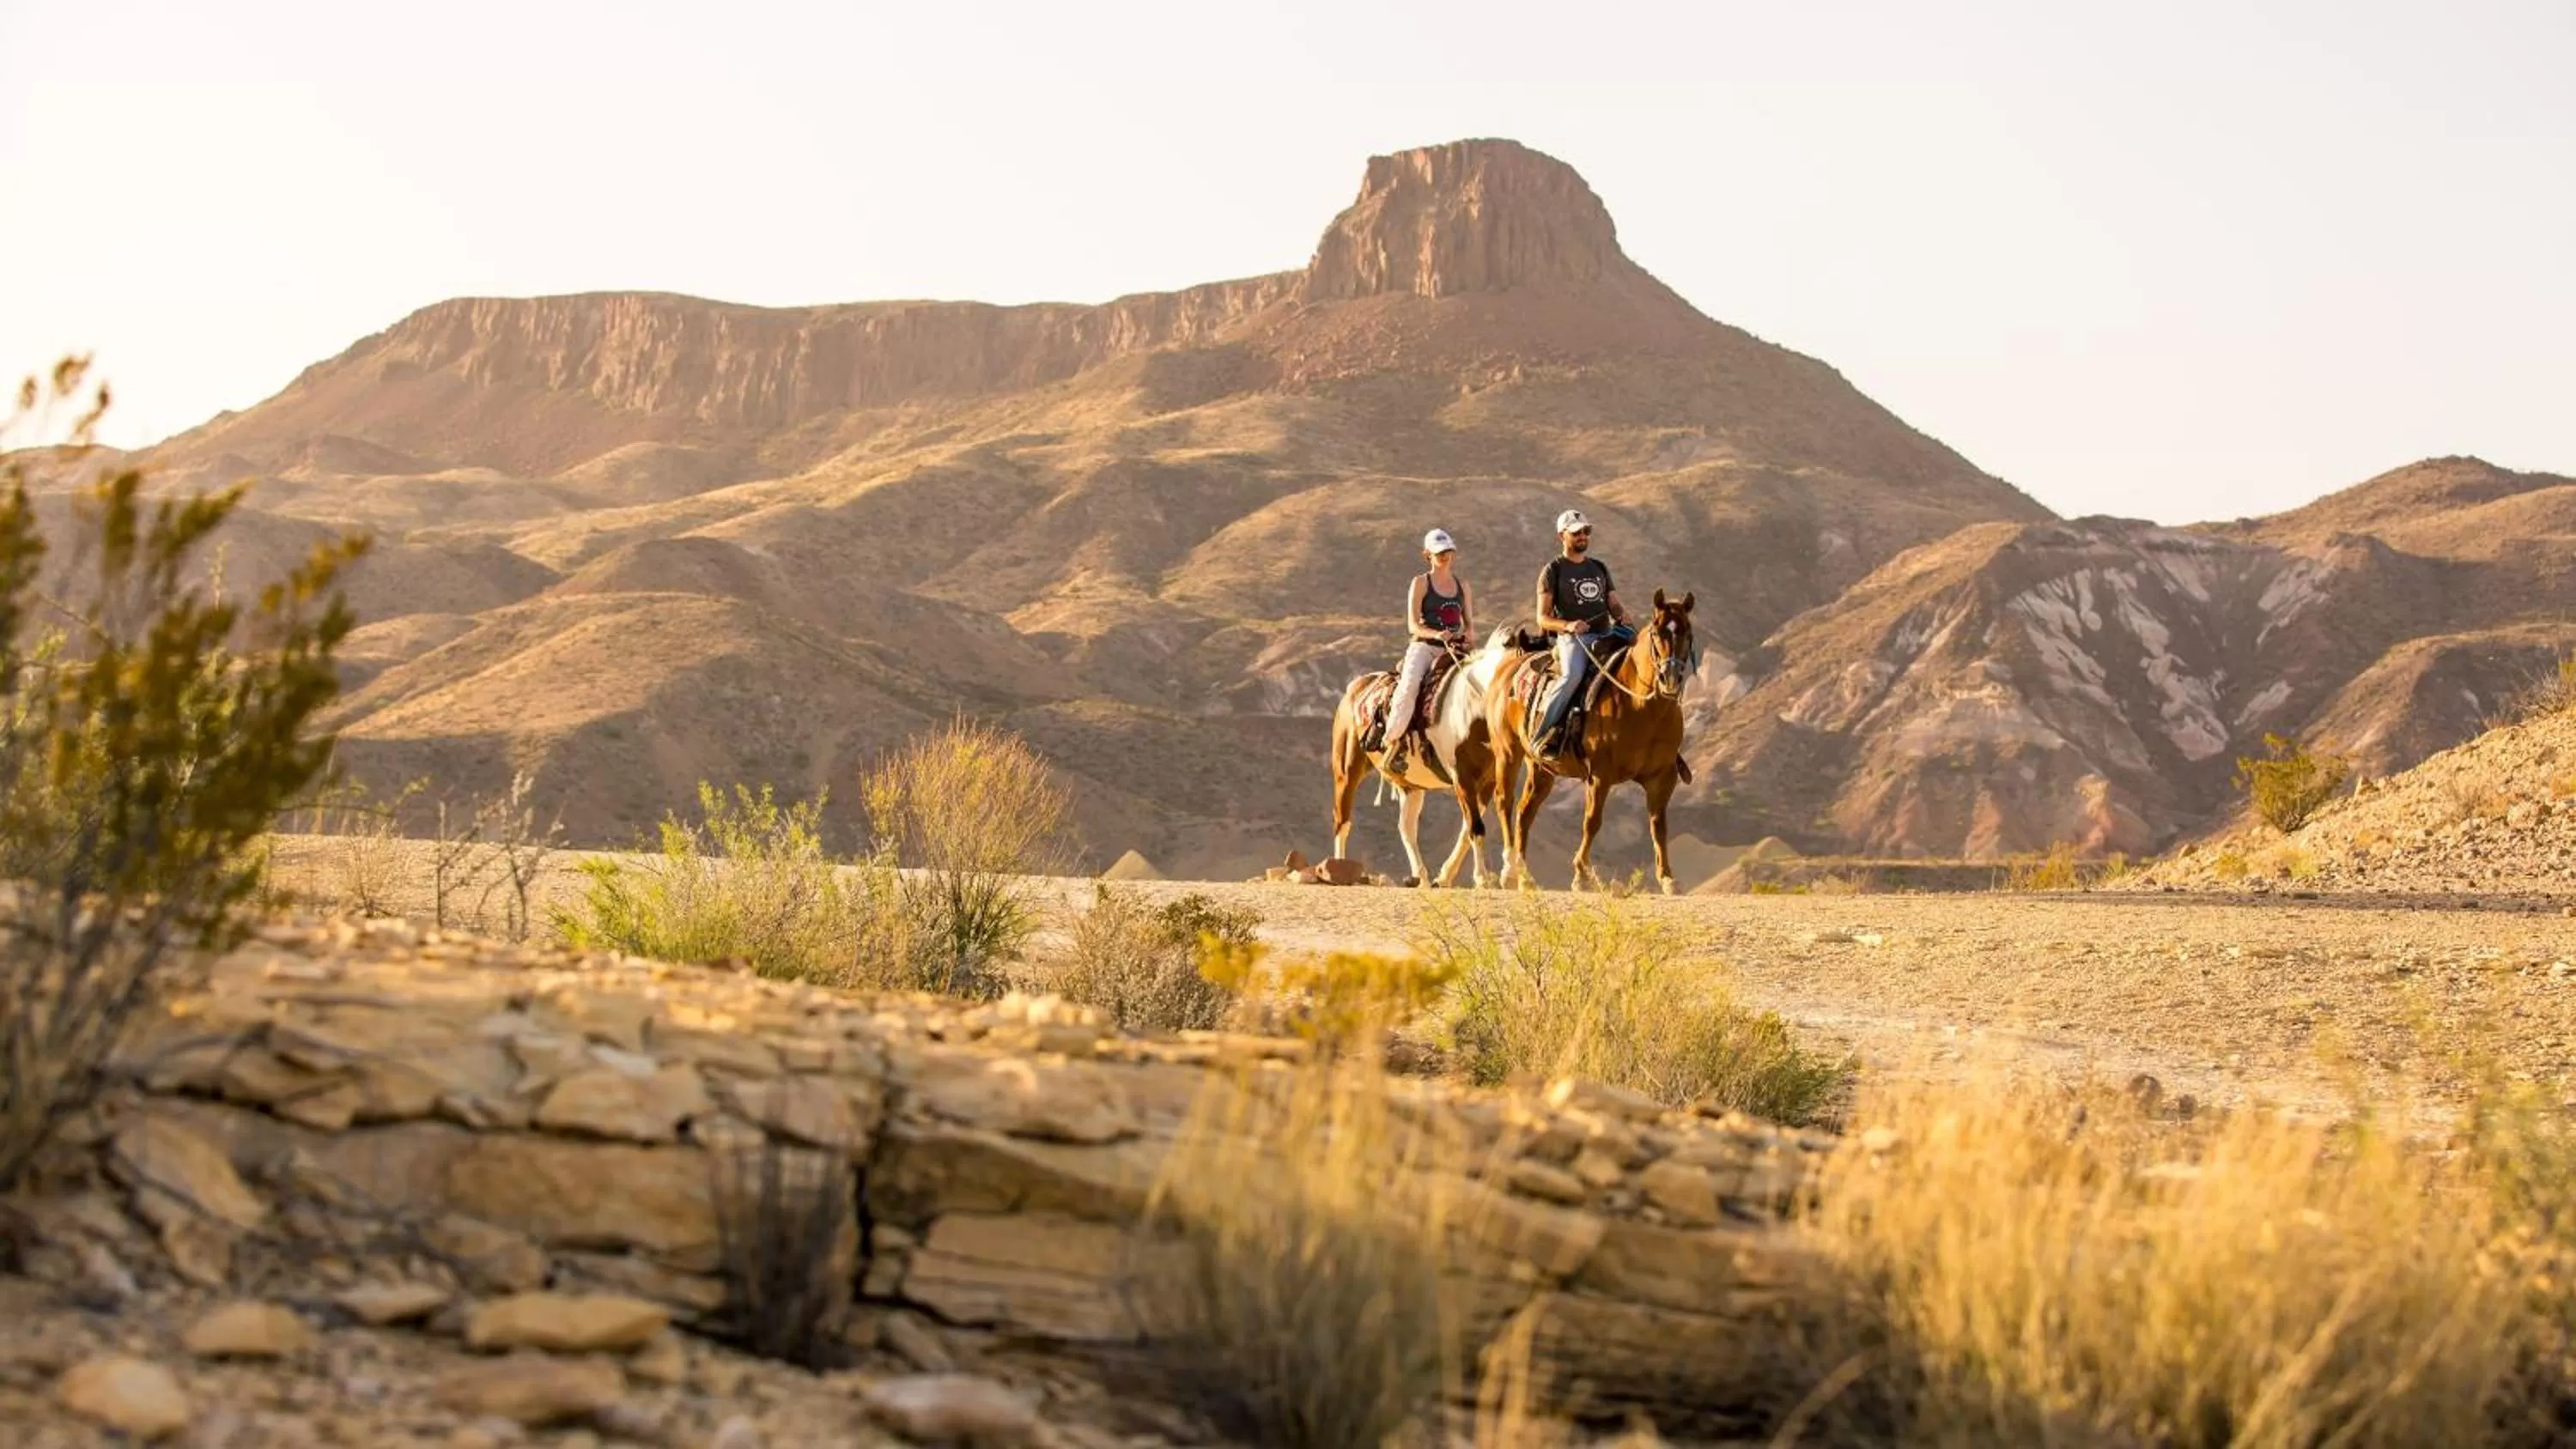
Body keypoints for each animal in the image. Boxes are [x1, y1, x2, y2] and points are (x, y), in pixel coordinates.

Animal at [1326, 625, 1513, 887]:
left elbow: (1467, 830)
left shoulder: (1486, 783)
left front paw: (1444, 878)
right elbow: (1475, 827)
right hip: (1347, 770)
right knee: (1342, 820)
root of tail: (1355, 688)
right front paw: (1482, 878)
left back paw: (1421, 877)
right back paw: (1340, 870)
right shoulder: (1462, 778)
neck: (1472, 710)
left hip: (1410, 786)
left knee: (1406, 828)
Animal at [1486, 590, 1700, 893]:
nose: (1669, 679)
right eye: (1657, 632)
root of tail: (1509, 666)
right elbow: (1592, 822)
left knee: (1525, 812)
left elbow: (1659, 825)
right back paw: (1509, 872)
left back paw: (1525, 877)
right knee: (1504, 802)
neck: (1641, 706)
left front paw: (1668, 879)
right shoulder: (1600, 774)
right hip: (1507, 753)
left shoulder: (1662, 777)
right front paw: (1581, 877)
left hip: (1541, 768)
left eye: (1688, 632)